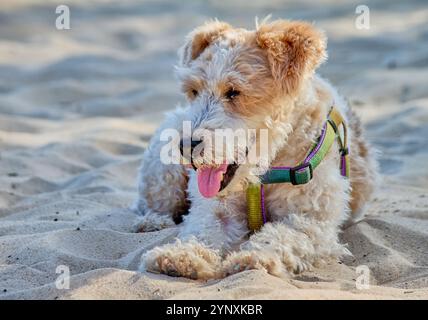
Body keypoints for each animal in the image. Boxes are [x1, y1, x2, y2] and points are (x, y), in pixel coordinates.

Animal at [134, 18, 378, 278]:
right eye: (194, 90)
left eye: (234, 92)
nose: (186, 146)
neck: (263, 171)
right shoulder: (217, 211)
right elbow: (203, 232)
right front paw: (181, 256)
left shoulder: (311, 220)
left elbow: (283, 236)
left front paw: (254, 257)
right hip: (164, 169)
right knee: (151, 203)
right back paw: (152, 222)